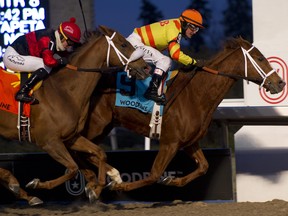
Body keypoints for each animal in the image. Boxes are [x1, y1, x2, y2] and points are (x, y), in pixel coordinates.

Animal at [0, 24, 148, 204]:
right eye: (124, 44)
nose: (145, 67)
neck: (65, 91)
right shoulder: (49, 141)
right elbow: (72, 169)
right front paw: (37, 183)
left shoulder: (71, 137)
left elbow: (100, 153)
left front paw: (100, 187)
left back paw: (18, 188)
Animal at [82, 36, 286, 192]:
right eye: (260, 58)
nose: (280, 83)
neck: (195, 93)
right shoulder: (169, 143)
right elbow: (154, 175)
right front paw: (120, 186)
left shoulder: (189, 142)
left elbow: (203, 166)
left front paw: (172, 180)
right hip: (96, 125)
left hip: (103, 128)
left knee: (88, 151)